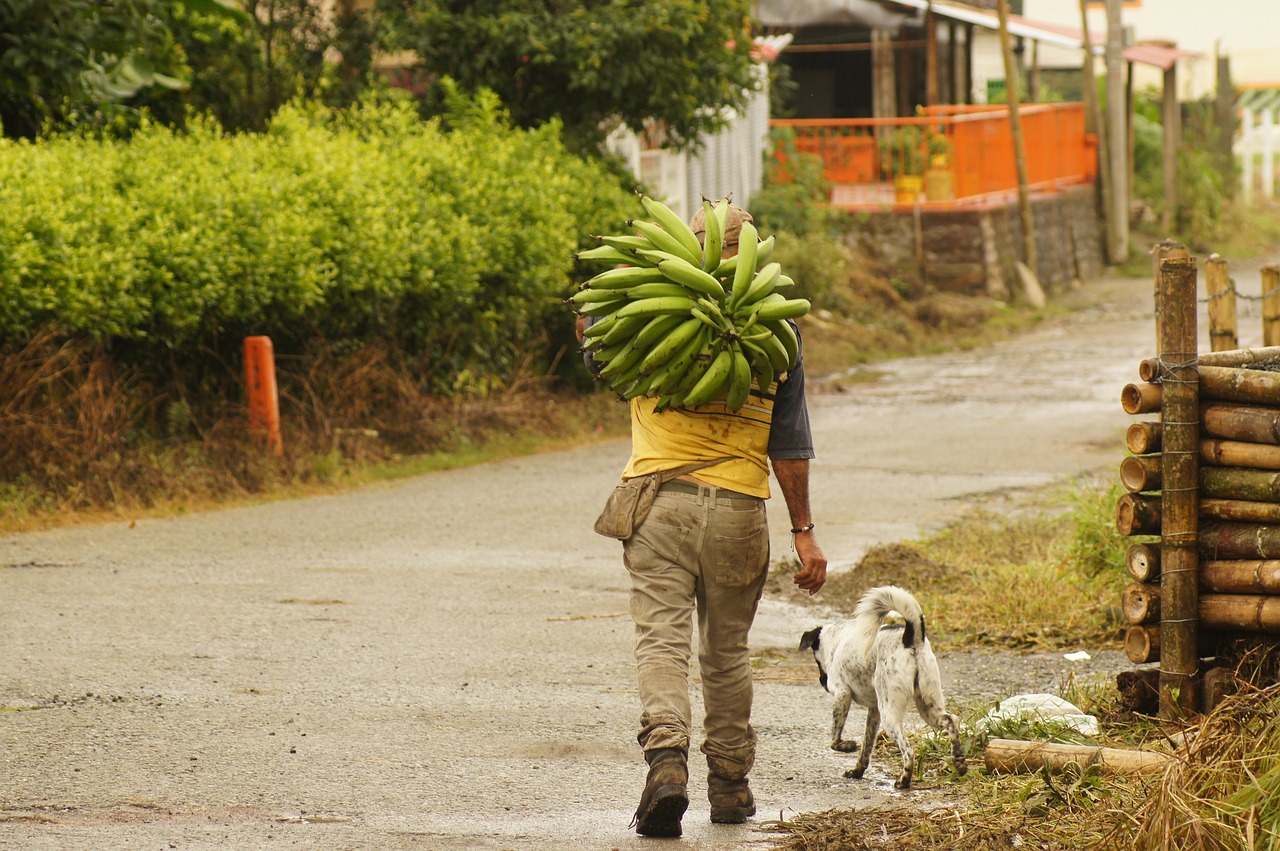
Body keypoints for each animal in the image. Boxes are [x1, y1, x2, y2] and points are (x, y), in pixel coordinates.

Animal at [793, 583, 962, 788]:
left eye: (817, 661)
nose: (822, 682)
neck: (837, 639)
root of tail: (910, 638)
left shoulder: (842, 694)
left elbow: (834, 739)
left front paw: (846, 746)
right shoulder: (874, 711)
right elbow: (866, 747)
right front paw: (857, 771)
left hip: (890, 714)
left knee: (909, 751)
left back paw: (904, 780)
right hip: (928, 706)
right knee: (952, 720)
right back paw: (960, 762)